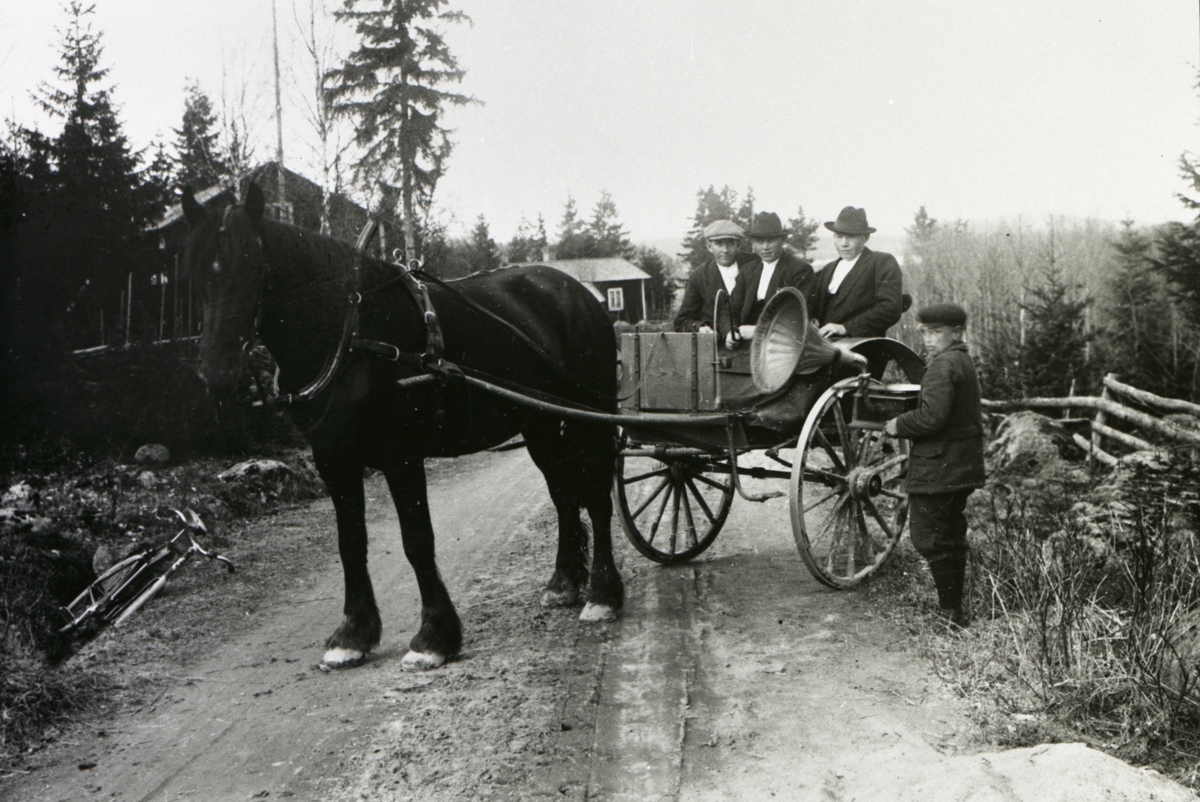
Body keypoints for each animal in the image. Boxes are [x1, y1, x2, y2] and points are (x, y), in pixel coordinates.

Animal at [182, 181, 624, 672]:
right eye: (195, 270)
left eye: (255, 267)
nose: (216, 372)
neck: (352, 333)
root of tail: (581, 294)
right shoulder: (334, 459)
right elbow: (350, 542)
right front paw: (353, 634)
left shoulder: (401, 456)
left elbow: (417, 540)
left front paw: (434, 636)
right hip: (543, 426)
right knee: (564, 496)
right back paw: (563, 583)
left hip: (588, 420)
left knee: (597, 499)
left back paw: (602, 595)